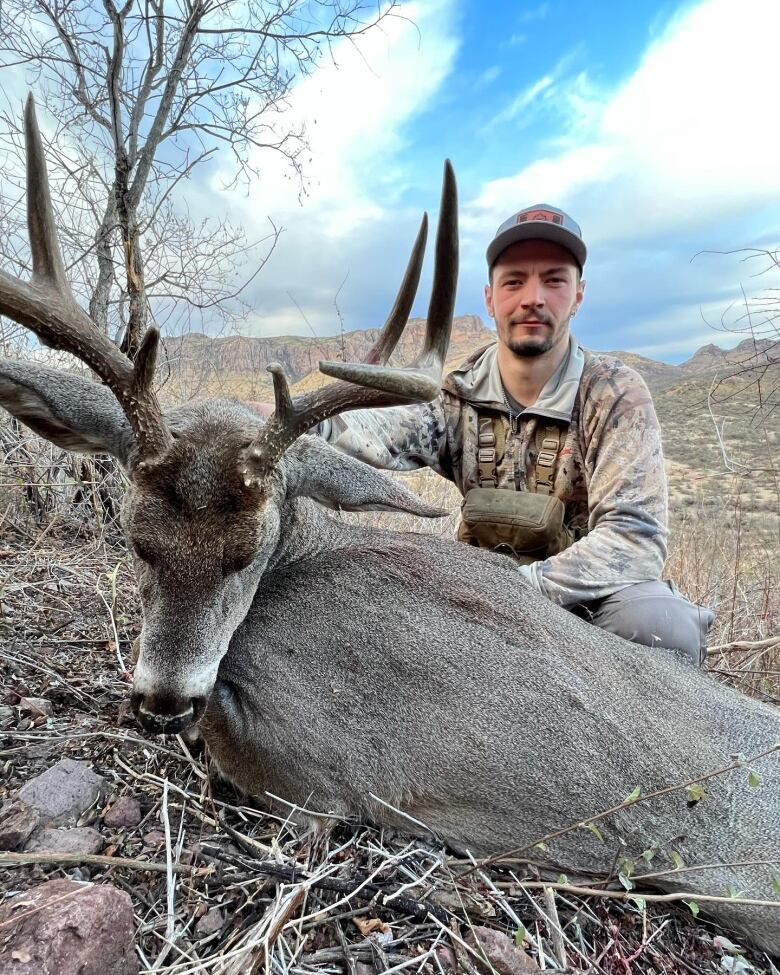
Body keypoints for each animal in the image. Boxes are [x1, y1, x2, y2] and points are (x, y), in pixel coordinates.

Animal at [0, 99, 776, 952]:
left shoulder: (322, 765)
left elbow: (244, 753)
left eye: (247, 555)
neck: (305, 557)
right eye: (137, 541)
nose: (165, 699)